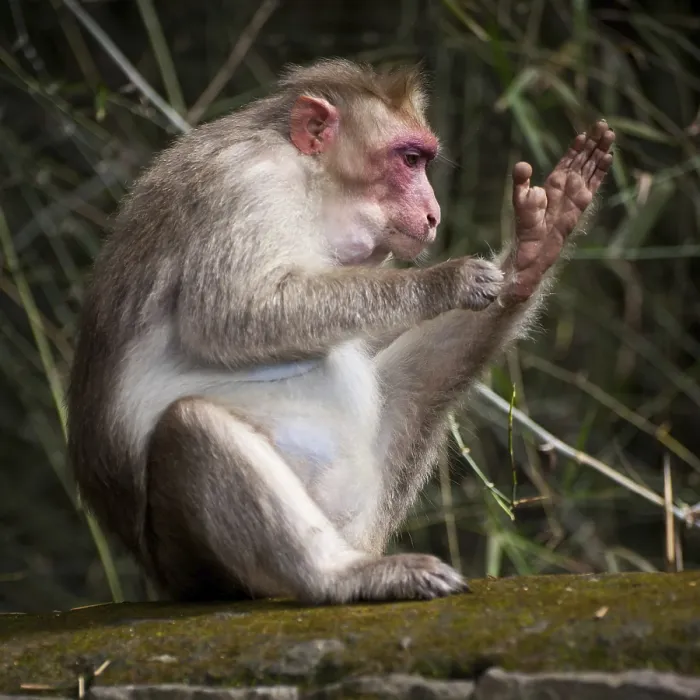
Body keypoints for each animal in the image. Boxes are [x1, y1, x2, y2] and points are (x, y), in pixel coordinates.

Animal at [67, 58, 614, 604]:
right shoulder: (247, 185)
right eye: (409, 159)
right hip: (194, 558)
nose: (434, 214)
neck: (307, 182)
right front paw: (445, 281)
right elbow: (225, 314)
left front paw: (535, 247)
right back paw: (337, 576)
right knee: (190, 426)